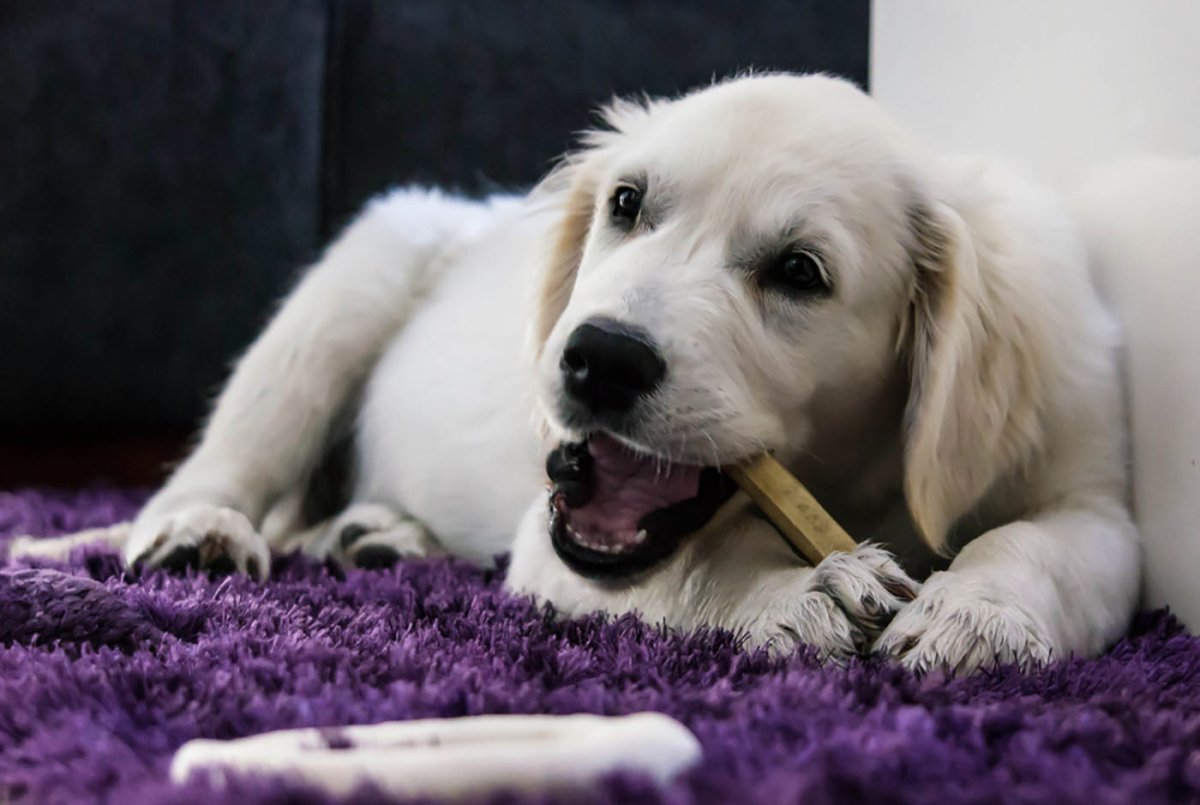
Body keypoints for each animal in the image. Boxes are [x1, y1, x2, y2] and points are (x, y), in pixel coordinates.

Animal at [87, 75, 1142, 671]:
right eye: (627, 204)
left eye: (800, 272)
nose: (597, 356)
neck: (860, 478)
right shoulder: (549, 544)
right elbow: (697, 566)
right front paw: (790, 593)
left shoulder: (1092, 495)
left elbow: (1036, 542)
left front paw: (974, 613)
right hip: (353, 281)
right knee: (226, 461)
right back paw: (200, 532)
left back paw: (379, 535)